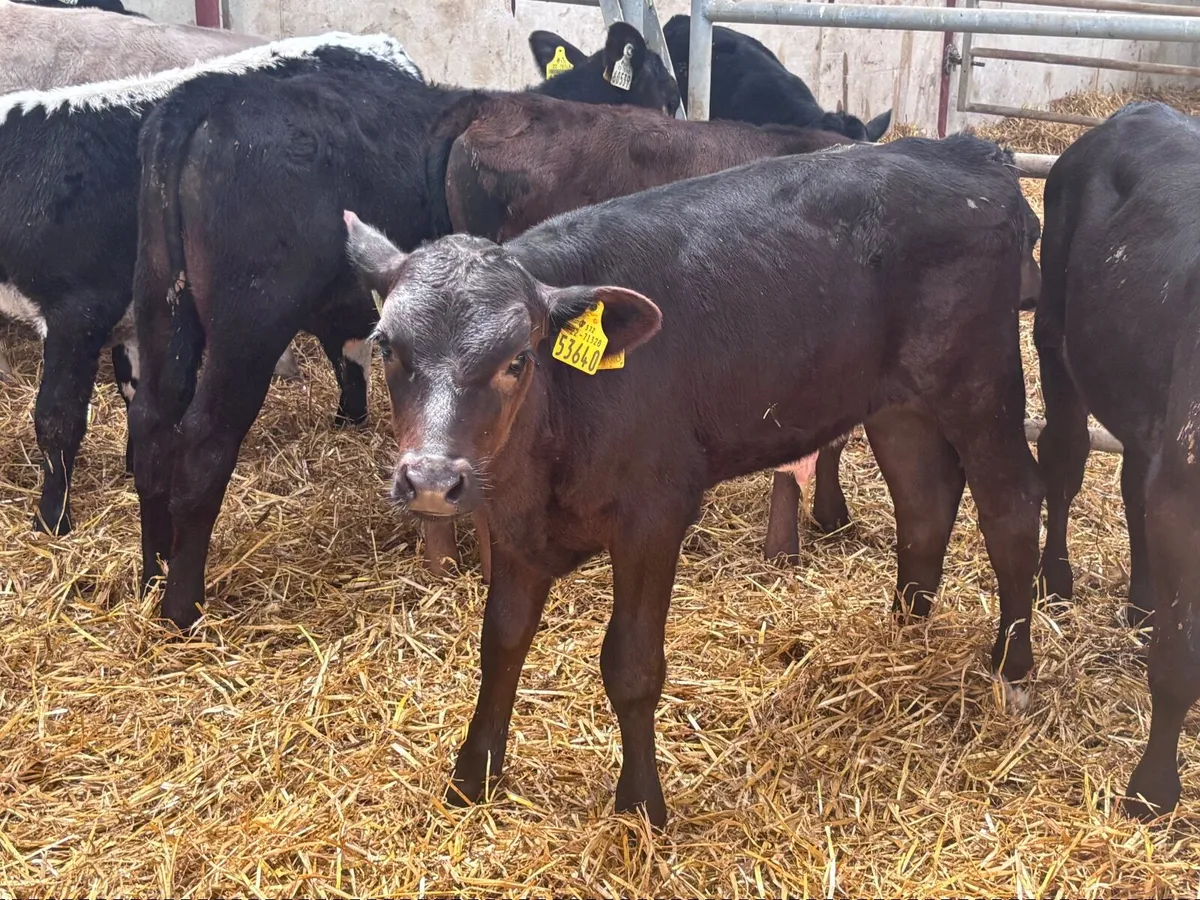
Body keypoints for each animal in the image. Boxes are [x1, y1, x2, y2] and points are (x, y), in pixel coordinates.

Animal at [0, 33, 421, 536]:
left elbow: (56, 417)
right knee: (350, 331)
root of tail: (379, 44)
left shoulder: (77, 310)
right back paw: (349, 419)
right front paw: (135, 469)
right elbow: (136, 394)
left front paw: (52, 520)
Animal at [125, 21, 680, 630]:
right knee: (203, 441)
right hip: (248, 320)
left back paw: (152, 573)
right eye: (664, 90)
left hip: (162, 304)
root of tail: (208, 94)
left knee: (151, 423)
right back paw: (181, 607)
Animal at [344, 132, 1043, 827]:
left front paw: (641, 805)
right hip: (896, 401)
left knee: (1010, 506)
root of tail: (964, 151)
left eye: (518, 359)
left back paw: (1013, 671)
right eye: (386, 347)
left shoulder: (654, 515)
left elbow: (631, 664)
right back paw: (904, 634)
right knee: (924, 500)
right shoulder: (519, 529)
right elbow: (501, 644)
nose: (432, 479)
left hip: (981, 385)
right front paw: (472, 777)